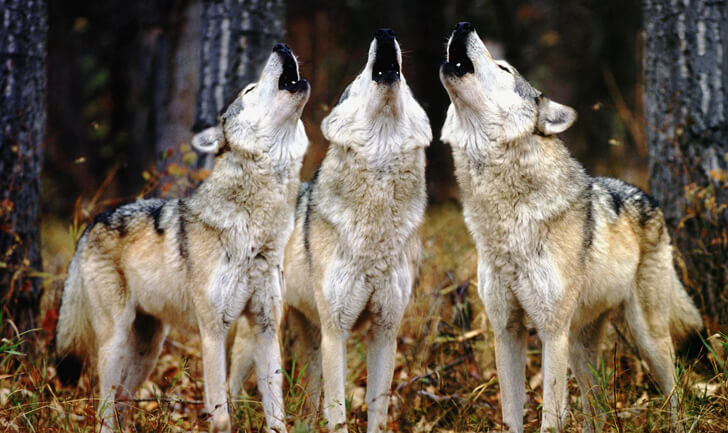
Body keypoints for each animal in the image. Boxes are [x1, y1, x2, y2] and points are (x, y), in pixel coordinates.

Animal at [55, 43, 310, 433]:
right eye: (249, 90)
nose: (281, 47)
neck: (256, 232)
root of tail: (93, 222)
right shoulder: (213, 332)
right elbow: (221, 415)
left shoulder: (266, 328)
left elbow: (276, 414)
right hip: (114, 342)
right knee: (104, 409)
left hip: (149, 347)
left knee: (123, 400)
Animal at [229, 28, 431, 432]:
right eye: (356, 79)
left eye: (408, 84)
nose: (385, 33)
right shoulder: (336, 333)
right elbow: (338, 413)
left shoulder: (385, 332)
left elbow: (377, 412)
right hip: (263, 334)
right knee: (231, 385)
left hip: (310, 339)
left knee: (307, 404)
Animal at [439, 22, 703, 433]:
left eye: (503, 68)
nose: (463, 26)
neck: (506, 220)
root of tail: (650, 197)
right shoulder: (506, 331)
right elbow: (511, 416)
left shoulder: (552, 333)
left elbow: (550, 418)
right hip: (581, 348)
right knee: (598, 412)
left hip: (646, 337)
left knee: (675, 393)